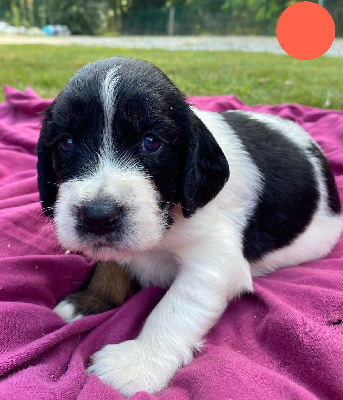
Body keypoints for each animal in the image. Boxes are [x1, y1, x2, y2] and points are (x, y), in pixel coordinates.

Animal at [36, 57, 342, 396]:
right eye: (66, 143)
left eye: (151, 142)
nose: (98, 216)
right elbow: (111, 263)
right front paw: (91, 301)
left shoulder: (214, 260)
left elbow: (174, 309)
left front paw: (137, 364)